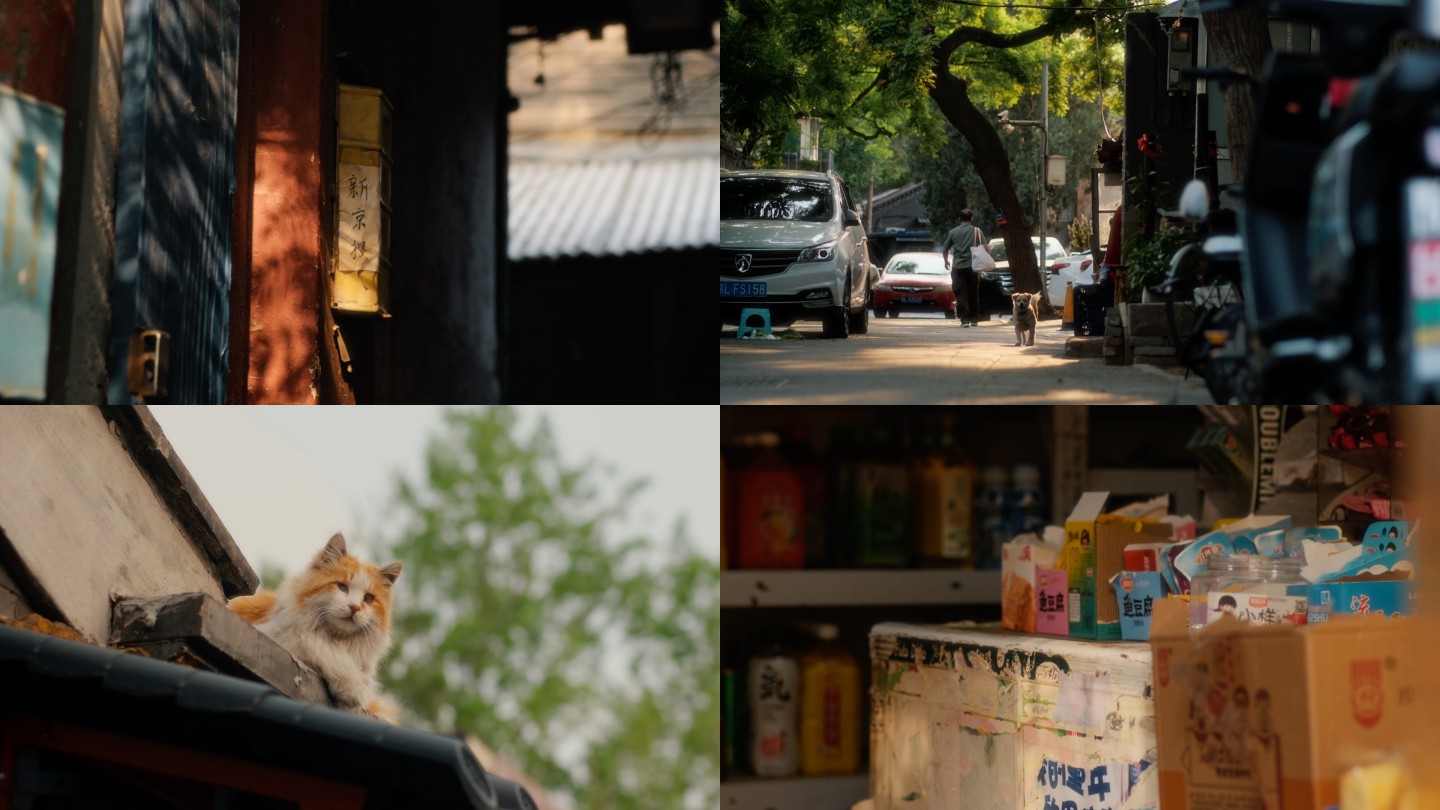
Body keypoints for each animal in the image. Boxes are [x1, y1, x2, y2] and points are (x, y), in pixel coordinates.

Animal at [227, 536, 403, 717]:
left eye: (368, 599)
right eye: (342, 587)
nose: (354, 607)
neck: (336, 640)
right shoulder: (286, 639)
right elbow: (323, 655)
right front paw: (351, 687)